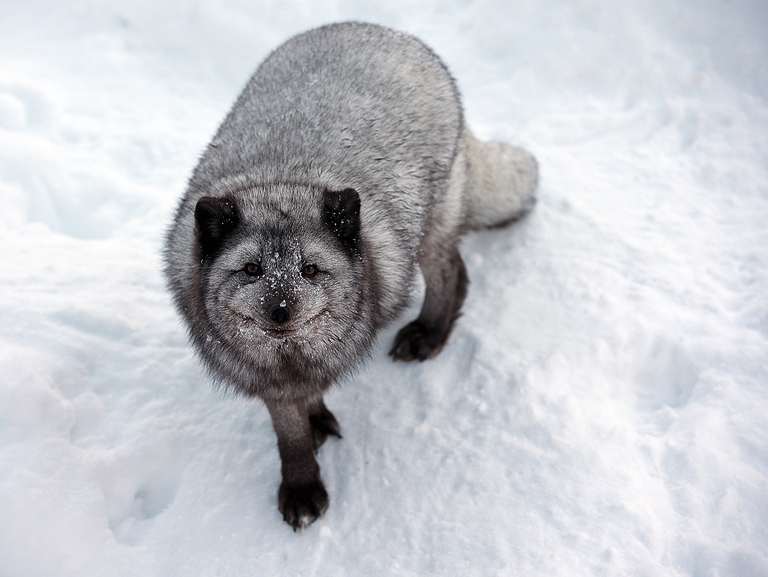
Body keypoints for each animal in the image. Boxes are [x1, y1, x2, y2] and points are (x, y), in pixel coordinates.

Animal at [164, 22, 536, 528]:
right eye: (252, 269)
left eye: (310, 269)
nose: (281, 311)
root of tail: (384, 29)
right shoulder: (266, 378)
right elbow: (289, 432)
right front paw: (305, 462)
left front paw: (305, 475)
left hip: (429, 229)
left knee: (453, 272)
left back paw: (428, 333)